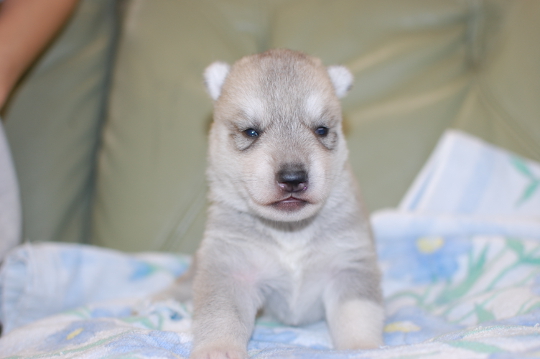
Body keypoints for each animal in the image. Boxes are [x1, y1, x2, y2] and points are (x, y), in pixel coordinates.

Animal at [167, 50, 382, 359]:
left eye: (321, 129)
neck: (290, 232)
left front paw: (362, 349)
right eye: (250, 132)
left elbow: (358, 315)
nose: (293, 178)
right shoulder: (230, 269)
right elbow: (222, 316)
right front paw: (219, 349)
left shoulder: (350, 265)